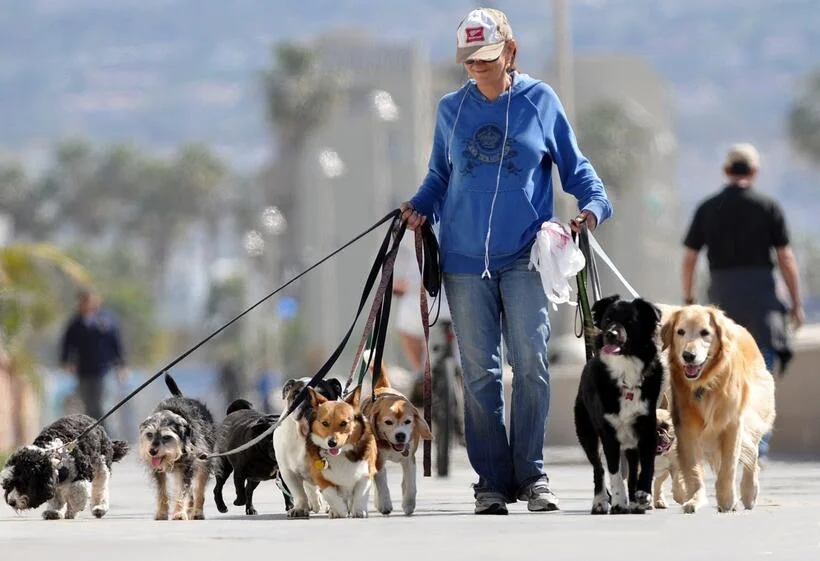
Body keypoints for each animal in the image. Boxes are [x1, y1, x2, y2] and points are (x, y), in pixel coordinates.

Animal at [141, 374, 218, 520]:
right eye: (149, 434)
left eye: (166, 437)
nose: (152, 451)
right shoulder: (158, 471)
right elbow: (162, 491)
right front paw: (162, 513)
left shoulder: (186, 467)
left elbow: (182, 492)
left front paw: (179, 513)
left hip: (203, 462)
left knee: (199, 489)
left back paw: (197, 512)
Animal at [362, 360, 432, 516]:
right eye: (388, 422)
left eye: (408, 421)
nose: (400, 435)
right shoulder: (378, 460)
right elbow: (382, 484)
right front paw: (385, 505)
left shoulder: (409, 459)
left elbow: (410, 485)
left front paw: (409, 505)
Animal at [576, 296, 668, 516]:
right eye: (608, 319)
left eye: (630, 321)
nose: (611, 334)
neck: (626, 369)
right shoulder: (608, 432)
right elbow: (614, 471)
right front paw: (619, 502)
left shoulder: (647, 428)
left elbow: (647, 465)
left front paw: (643, 495)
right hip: (587, 432)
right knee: (598, 468)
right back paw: (600, 502)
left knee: (633, 467)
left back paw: (635, 500)